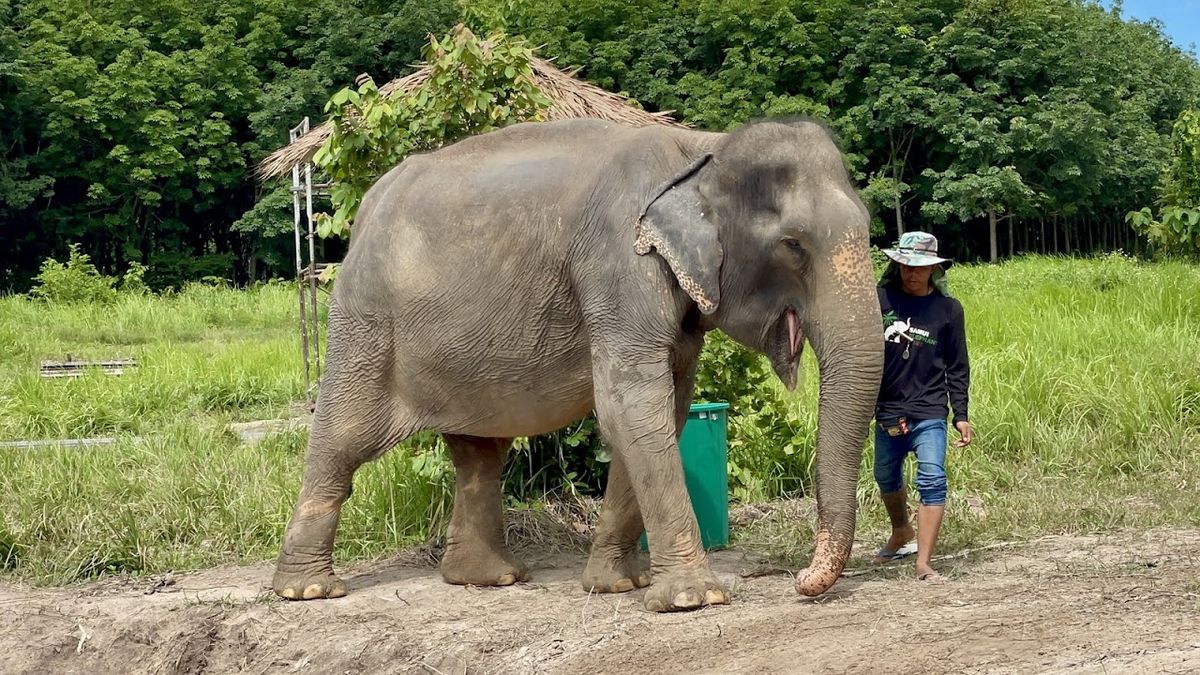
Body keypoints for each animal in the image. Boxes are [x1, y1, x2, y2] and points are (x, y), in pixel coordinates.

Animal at [272, 116, 883, 612]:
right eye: (793, 244)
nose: (801, 580)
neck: (702, 147)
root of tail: (366, 206)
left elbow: (666, 410)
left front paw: (618, 586)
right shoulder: (619, 263)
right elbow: (630, 407)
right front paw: (694, 599)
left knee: (479, 453)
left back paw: (488, 579)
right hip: (366, 320)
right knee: (345, 435)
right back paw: (309, 590)